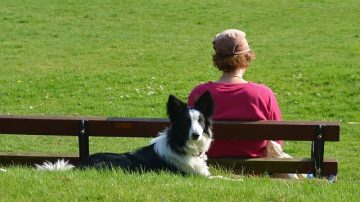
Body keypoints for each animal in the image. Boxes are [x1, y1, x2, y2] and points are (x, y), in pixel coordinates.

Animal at [37, 91, 214, 177]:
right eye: (186, 122)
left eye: (200, 121)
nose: (196, 135)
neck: (179, 144)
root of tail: (80, 166)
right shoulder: (197, 177)